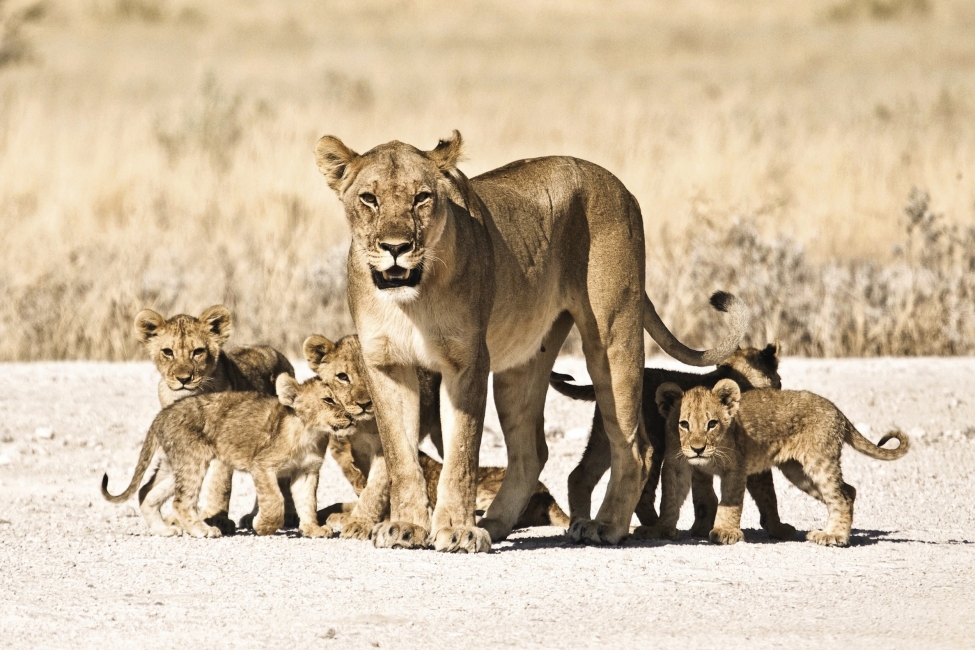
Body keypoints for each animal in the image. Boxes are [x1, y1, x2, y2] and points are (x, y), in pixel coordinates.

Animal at [102, 374, 354, 538]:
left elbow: (308, 502)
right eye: (328, 400)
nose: (351, 417)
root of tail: (163, 414)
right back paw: (202, 530)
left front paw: (313, 529)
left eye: (343, 399)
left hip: (174, 464)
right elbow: (275, 501)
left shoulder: (307, 471)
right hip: (193, 459)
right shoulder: (262, 465)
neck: (310, 433)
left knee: (146, 492)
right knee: (181, 501)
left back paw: (164, 530)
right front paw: (261, 526)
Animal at [133, 305, 295, 535]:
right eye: (167, 352)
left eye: (198, 351)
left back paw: (284, 516)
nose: (184, 379)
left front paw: (217, 519)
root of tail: (276, 352)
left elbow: (220, 484)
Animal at [314, 130, 747, 551]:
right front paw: (407, 527)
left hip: (612, 339)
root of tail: (620, 187)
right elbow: (400, 456)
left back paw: (604, 526)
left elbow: (461, 454)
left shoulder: (467, 363)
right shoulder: (386, 364)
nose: (396, 248)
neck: (411, 300)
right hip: (521, 366)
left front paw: (456, 530)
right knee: (531, 452)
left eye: (422, 198)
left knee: (635, 447)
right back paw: (494, 524)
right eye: (369, 199)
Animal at [551, 343, 796, 541]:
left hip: (605, 437)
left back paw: (579, 525)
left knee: (579, 476)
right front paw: (778, 529)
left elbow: (704, 495)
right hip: (654, 444)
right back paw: (653, 527)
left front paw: (701, 528)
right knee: (644, 491)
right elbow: (768, 494)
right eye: (780, 380)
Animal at [646, 379, 909, 546]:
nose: (698, 449)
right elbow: (669, 498)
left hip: (819, 461)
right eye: (683, 424)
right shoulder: (677, 464)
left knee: (841, 496)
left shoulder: (736, 467)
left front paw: (725, 532)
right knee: (849, 490)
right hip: (798, 472)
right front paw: (660, 529)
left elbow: (730, 501)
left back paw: (834, 537)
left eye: (712, 424)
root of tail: (836, 410)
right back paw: (833, 531)